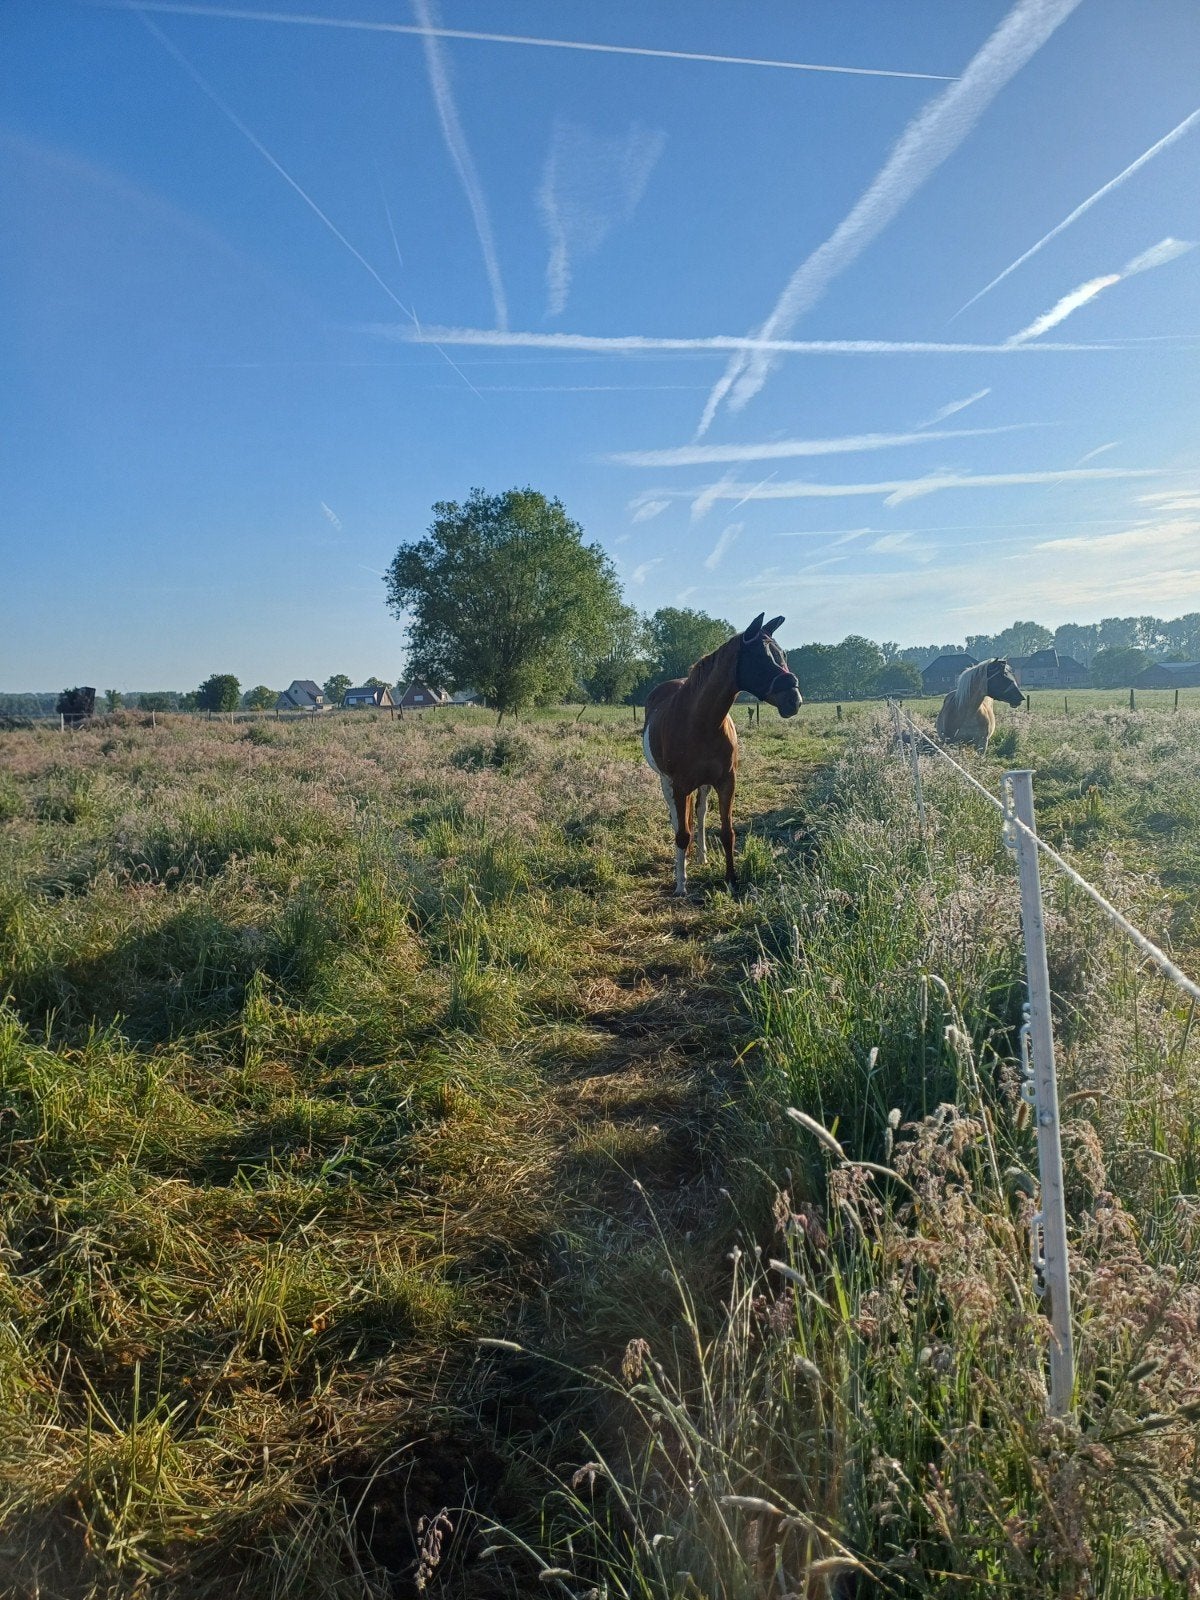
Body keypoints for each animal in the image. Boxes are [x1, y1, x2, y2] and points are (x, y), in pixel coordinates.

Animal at [642, 613, 801, 896]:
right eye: (761, 657)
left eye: (782, 654)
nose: (795, 700)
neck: (700, 721)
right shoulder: (680, 785)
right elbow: (682, 833)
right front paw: (681, 885)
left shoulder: (726, 781)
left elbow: (727, 832)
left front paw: (731, 880)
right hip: (666, 781)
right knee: (677, 819)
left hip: (703, 784)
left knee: (700, 813)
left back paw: (701, 856)